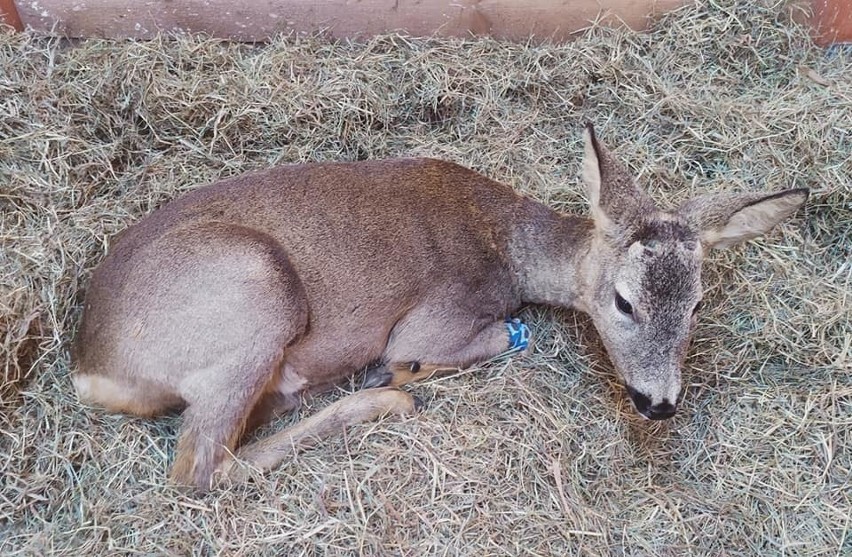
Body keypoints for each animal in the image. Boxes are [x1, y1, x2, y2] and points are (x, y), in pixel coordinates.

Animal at [71, 122, 804, 486]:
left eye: (698, 305)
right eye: (623, 302)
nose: (659, 402)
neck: (506, 247)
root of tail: (89, 364)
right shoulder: (435, 318)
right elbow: (475, 339)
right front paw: (412, 369)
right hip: (260, 289)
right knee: (199, 466)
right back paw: (383, 398)